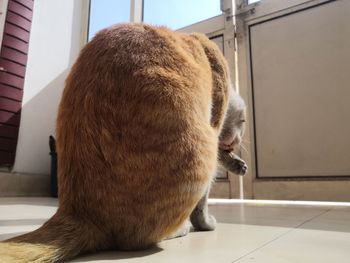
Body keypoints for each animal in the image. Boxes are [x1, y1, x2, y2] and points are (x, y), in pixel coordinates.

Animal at [1, 23, 234, 262]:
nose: (232, 146)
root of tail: (78, 213)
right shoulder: (215, 124)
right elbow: (203, 202)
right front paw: (205, 223)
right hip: (202, 152)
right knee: (139, 239)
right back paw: (180, 229)